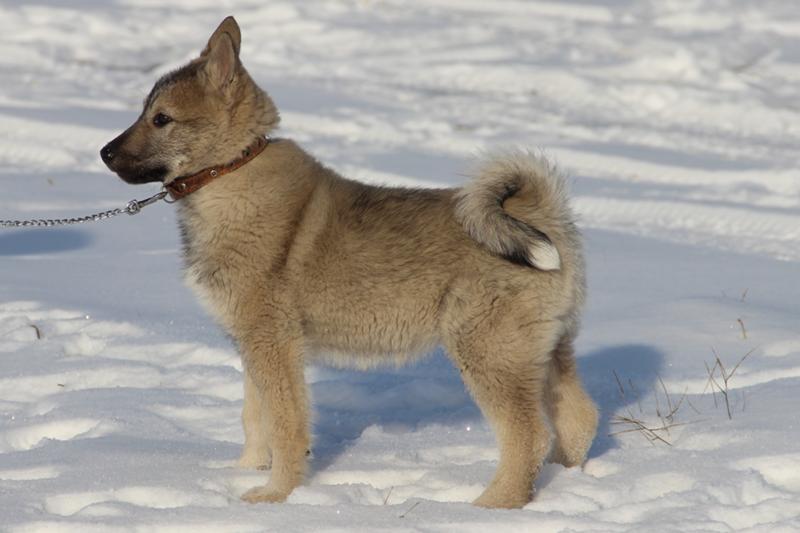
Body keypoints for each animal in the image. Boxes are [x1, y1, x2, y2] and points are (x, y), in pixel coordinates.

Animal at [101, 16, 592, 508]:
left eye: (161, 118)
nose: (104, 153)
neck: (232, 170)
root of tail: (538, 214)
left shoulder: (272, 342)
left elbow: (285, 426)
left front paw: (275, 496)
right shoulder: (252, 343)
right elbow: (254, 419)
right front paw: (242, 475)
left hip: (487, 351)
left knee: (528, 435)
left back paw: (493, 505)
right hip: (543, 350)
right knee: (578, 419)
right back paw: (564, 481)